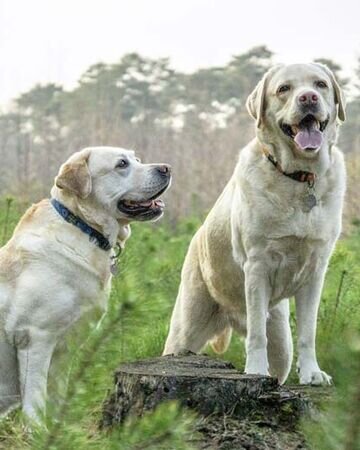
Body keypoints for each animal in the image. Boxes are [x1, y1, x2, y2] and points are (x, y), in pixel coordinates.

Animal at [0, 148, 172, 422]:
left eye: (137, 159)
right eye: (121, 164)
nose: (166, 168)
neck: (82, 226)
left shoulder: (64, 351)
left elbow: (56, 400)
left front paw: (57, 428)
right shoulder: (34, 338)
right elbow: (35, 403)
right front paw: (38, 430)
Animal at [164, 64, 346, 386]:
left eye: (320, 85)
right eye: (284, 89)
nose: (308, 98)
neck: (299, 177)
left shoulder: (315, 271)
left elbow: (308, 333)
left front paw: (312, 373)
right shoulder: (258, 265)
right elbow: (257, 335)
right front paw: (256, 371)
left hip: (282, 342)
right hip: (184, 331)